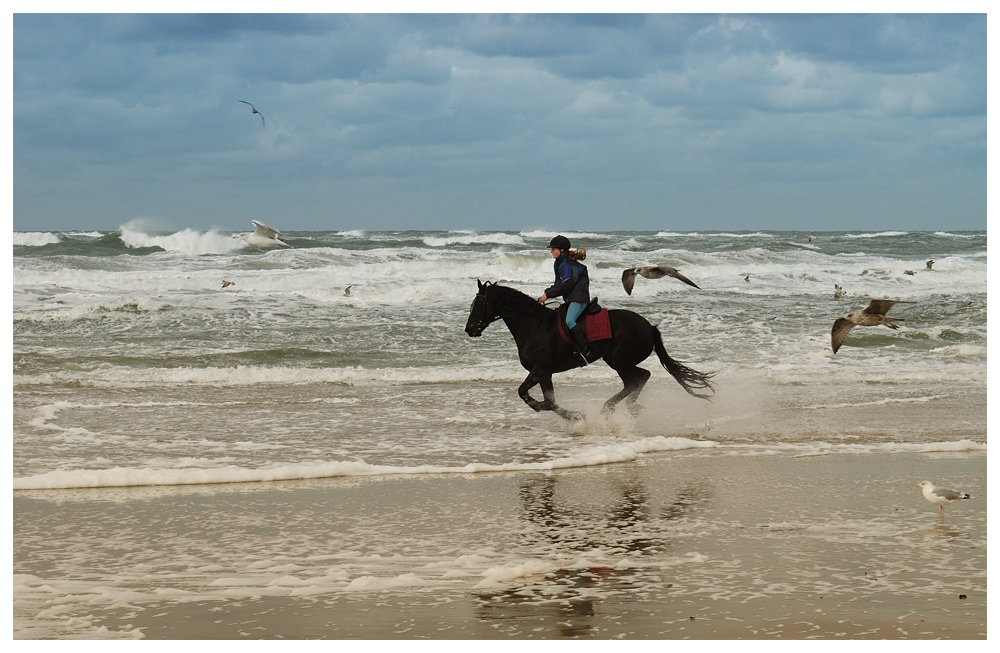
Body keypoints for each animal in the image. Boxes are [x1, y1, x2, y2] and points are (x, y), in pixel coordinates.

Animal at [464, 278, 716, 420]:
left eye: (479, 303)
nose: (469, 329)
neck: (534, 326)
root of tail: (649, 326)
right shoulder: (543, 372)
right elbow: (536, 397)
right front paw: (568, 413)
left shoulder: (541, 370)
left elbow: (539, 399)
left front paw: (574, 415)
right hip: (616, 361)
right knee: (642, 376)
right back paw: (630, 407)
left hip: (620, 360)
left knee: (634, 381)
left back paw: (609, 408)